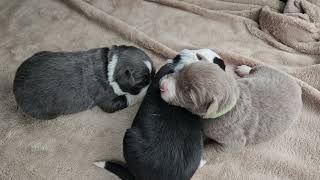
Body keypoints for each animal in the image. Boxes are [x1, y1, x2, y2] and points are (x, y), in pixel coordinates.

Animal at [11, 45, 153, 119]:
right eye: (142, 82)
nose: (152, 82)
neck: (110, 66)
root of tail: (15, 82)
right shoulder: (107, 100)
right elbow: (129, 98)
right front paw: (144, 93)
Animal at [160, 54, 302, 152]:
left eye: (189, 94)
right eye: (182, 70)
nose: (162, 86)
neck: (233, 102)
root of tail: (296, 84)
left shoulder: (232, 142)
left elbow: (209, 152)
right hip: (266, 69)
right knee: (257, 67)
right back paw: (245, 69)